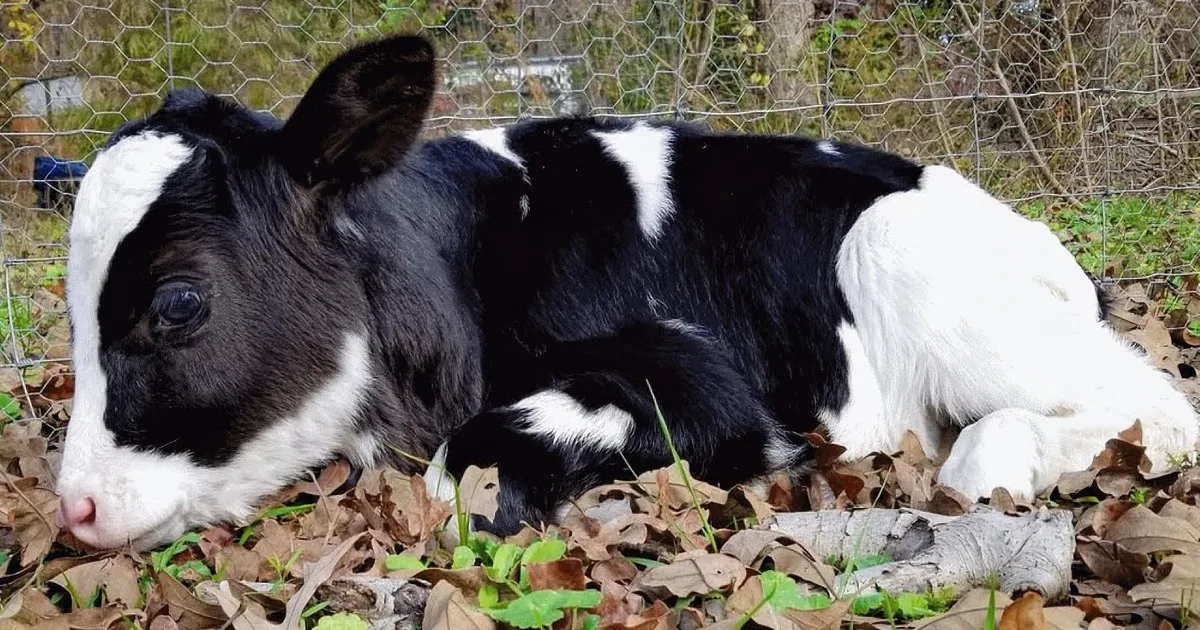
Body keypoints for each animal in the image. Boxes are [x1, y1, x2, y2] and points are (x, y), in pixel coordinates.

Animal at [54, 34, 1198, 551]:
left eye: (178, 304)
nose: (75, 506)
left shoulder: (702, 375)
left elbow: (472, 460)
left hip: (909, 263)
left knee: (1151, 411)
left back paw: (989, 461)